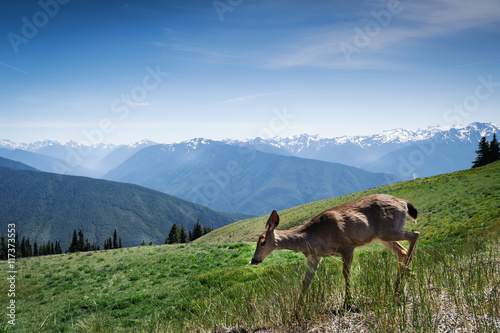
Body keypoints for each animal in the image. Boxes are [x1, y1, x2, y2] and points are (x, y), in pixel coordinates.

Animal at [249, 193, 418, 308]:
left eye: (262, 242)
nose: (253, 260)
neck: (311, 237)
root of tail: (403, 202)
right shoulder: (314, 256)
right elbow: (306, 281)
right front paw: (297, 309)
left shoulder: (346, 246)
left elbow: (346, 273)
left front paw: (348, 302)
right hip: (382, 236)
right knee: (401, 251)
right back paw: (400, 286)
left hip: (389, 230)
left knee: (414, 234)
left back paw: (407, 275)